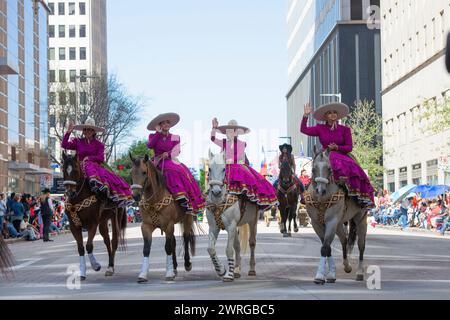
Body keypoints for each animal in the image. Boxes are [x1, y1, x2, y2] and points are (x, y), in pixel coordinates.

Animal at [61, 152, 126, 280]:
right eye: (64, 170)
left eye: (76, 169)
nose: (70, 193)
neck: (77, 198)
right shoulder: (74, 226)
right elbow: (81, 248)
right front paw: (82, 273)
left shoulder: (92, 224)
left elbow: (89, 245)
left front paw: (96, 265)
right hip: (103, 221)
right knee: (107, 240)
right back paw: (110, 265)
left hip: (116, 216)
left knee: (114, 241)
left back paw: (110, 267)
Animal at [206, 151, 262, 282]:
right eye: (209, 169)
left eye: (224, 169)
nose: (216, 191)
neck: (219, 201)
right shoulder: (213, 227)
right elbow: (211, 249)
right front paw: (221, 270)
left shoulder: (231, 226)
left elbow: (228, 250)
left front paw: (229, 275)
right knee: (237, 245)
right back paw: (236, 270)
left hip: (253, 221)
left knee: (252, 243)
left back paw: (251, 269)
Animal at [306, 146, 370, 284]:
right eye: (313, 169)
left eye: (329, 169)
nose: (320, 190)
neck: (322, 199)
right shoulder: (316, 223)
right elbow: (327, 247)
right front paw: (330, 274)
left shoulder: (331, 221)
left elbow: (325, 247)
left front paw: (320, 276)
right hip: (340, 224)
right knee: (344, 241)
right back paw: (346, 266)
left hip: (360, 219)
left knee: (361, 245)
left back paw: (359, 272)